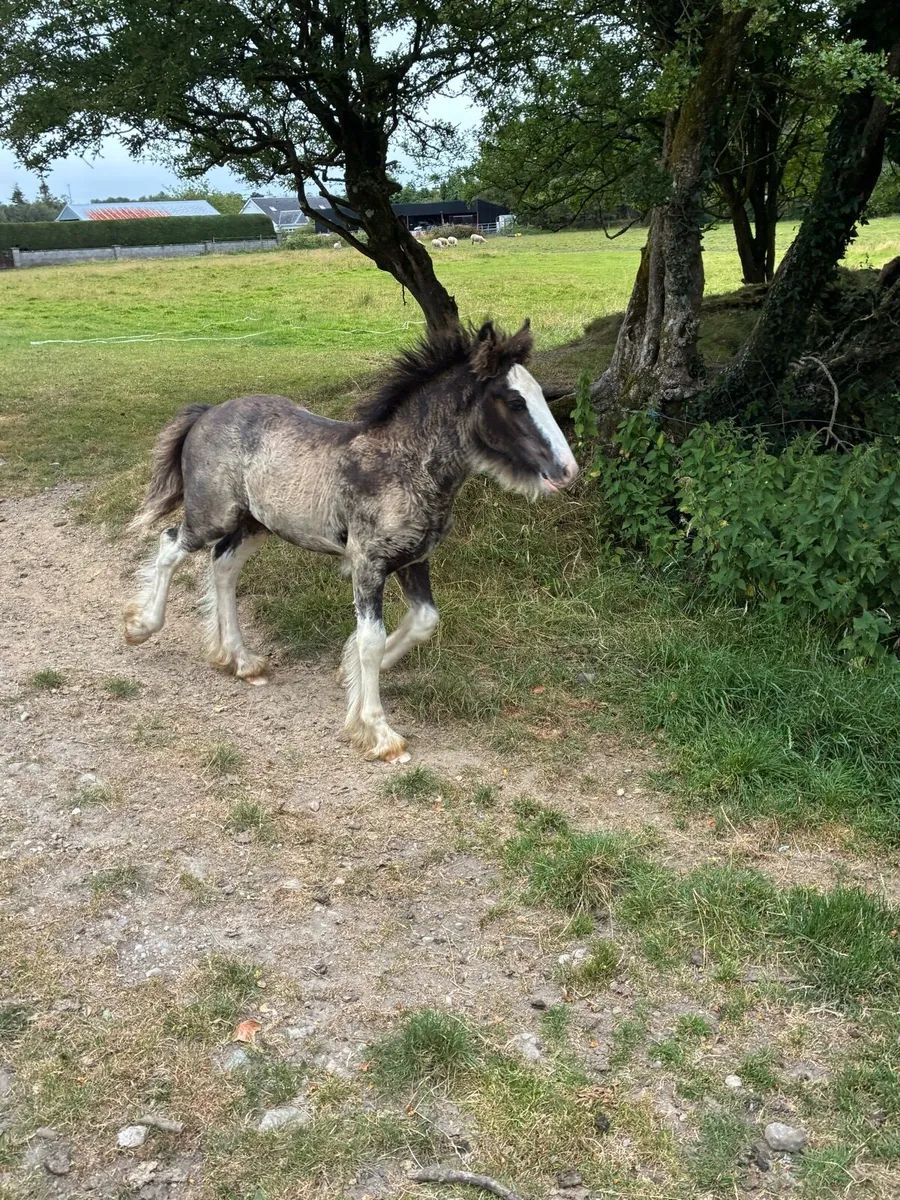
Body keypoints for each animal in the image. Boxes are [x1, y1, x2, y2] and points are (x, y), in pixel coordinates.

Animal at [123, 321, 578, 762]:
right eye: (515, 402)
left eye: (541, 395)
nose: (568, 470)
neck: (404, 466)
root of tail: (208, 412)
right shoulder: (367, 563)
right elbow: (370, 640)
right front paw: (379, 733)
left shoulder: (413, 559)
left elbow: (423, 622)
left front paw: (347, 670)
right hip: (213, 516)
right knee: (169, 546)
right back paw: (142, 627)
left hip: (255, 525)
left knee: (223, 567)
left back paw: (240, 660)